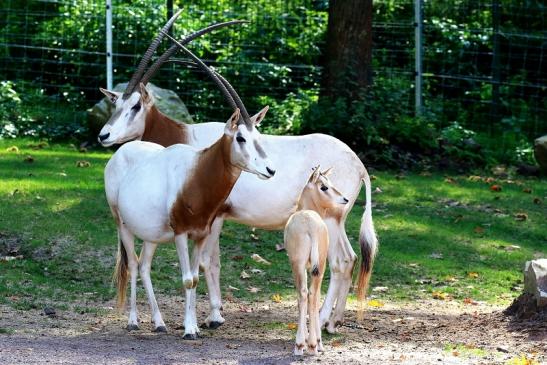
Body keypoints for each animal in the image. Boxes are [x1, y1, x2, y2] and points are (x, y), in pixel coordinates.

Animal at [284, 166, 348, 354]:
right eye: (324, 186)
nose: (345, 199)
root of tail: (310, 224)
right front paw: (315, 342)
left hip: (298, 265)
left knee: (305, 293)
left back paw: (303, 345)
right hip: (317, 265)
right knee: (311, 294)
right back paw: (312, 343)